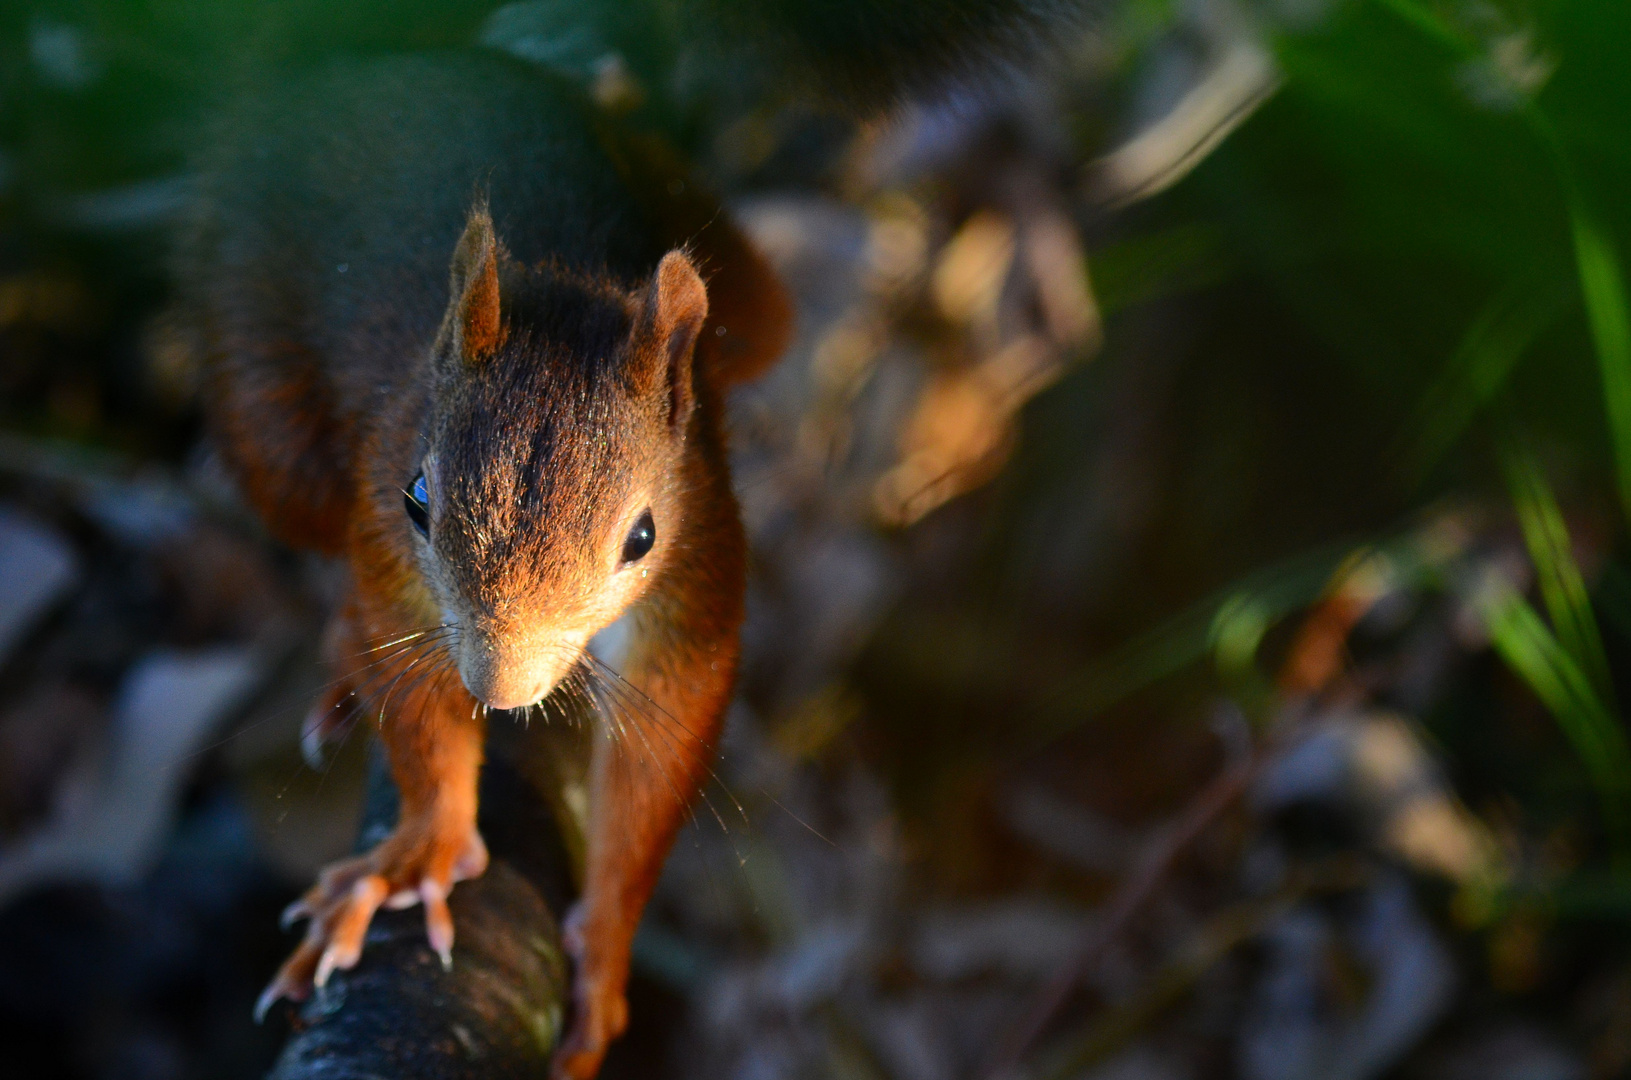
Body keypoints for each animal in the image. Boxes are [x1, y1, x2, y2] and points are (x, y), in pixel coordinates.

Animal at [178, 4, 1076, 1076]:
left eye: (642, 536)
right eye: (417, 499)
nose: (501, 692)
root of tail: (396, 58)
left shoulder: (703, 552)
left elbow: (664, 733)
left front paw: (604, 952)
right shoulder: (379, 533)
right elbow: (406, 675)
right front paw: (421, 848)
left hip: (742, 287)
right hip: (266, 394)